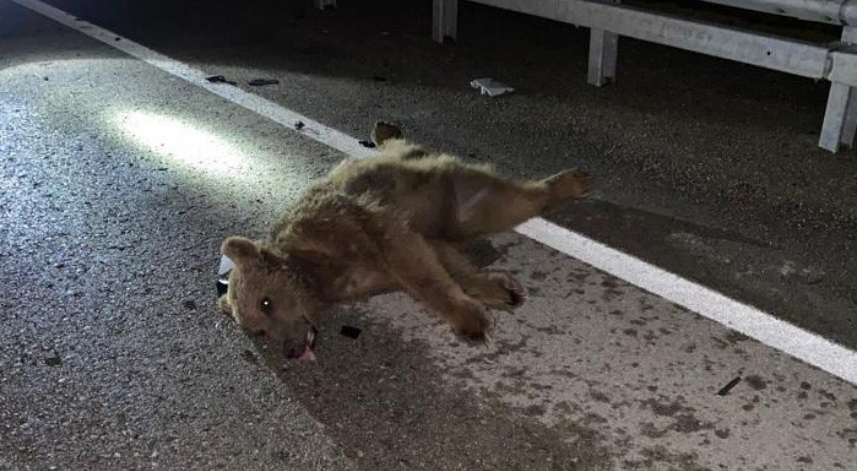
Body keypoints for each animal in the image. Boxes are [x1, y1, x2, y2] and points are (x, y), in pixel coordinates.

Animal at [219, 122, 593, 360]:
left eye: (267, 302)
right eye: (257, 330)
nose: (291, 350)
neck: (317, 275)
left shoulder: (353, 225)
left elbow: (414, 266)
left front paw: (469, 320)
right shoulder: (387, 259)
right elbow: (439, 259)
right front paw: (495, 289)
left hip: (461, 194)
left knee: (512, 201)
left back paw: (570, 182)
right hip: (459, 209)